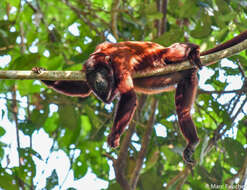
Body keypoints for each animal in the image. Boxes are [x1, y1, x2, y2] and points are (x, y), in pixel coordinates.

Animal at [33, 29, 247, 165]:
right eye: (93, 75)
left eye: (101, 72)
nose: (98, 82)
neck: (105, 57)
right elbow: (84, 89)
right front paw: (45, 76)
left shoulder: (119, 64)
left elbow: (128, 96)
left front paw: (114, 136)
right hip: (188, 79)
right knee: (183, 111)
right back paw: (192, 141)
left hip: (171, 58)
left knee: (169, 53)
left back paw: (193, 50)